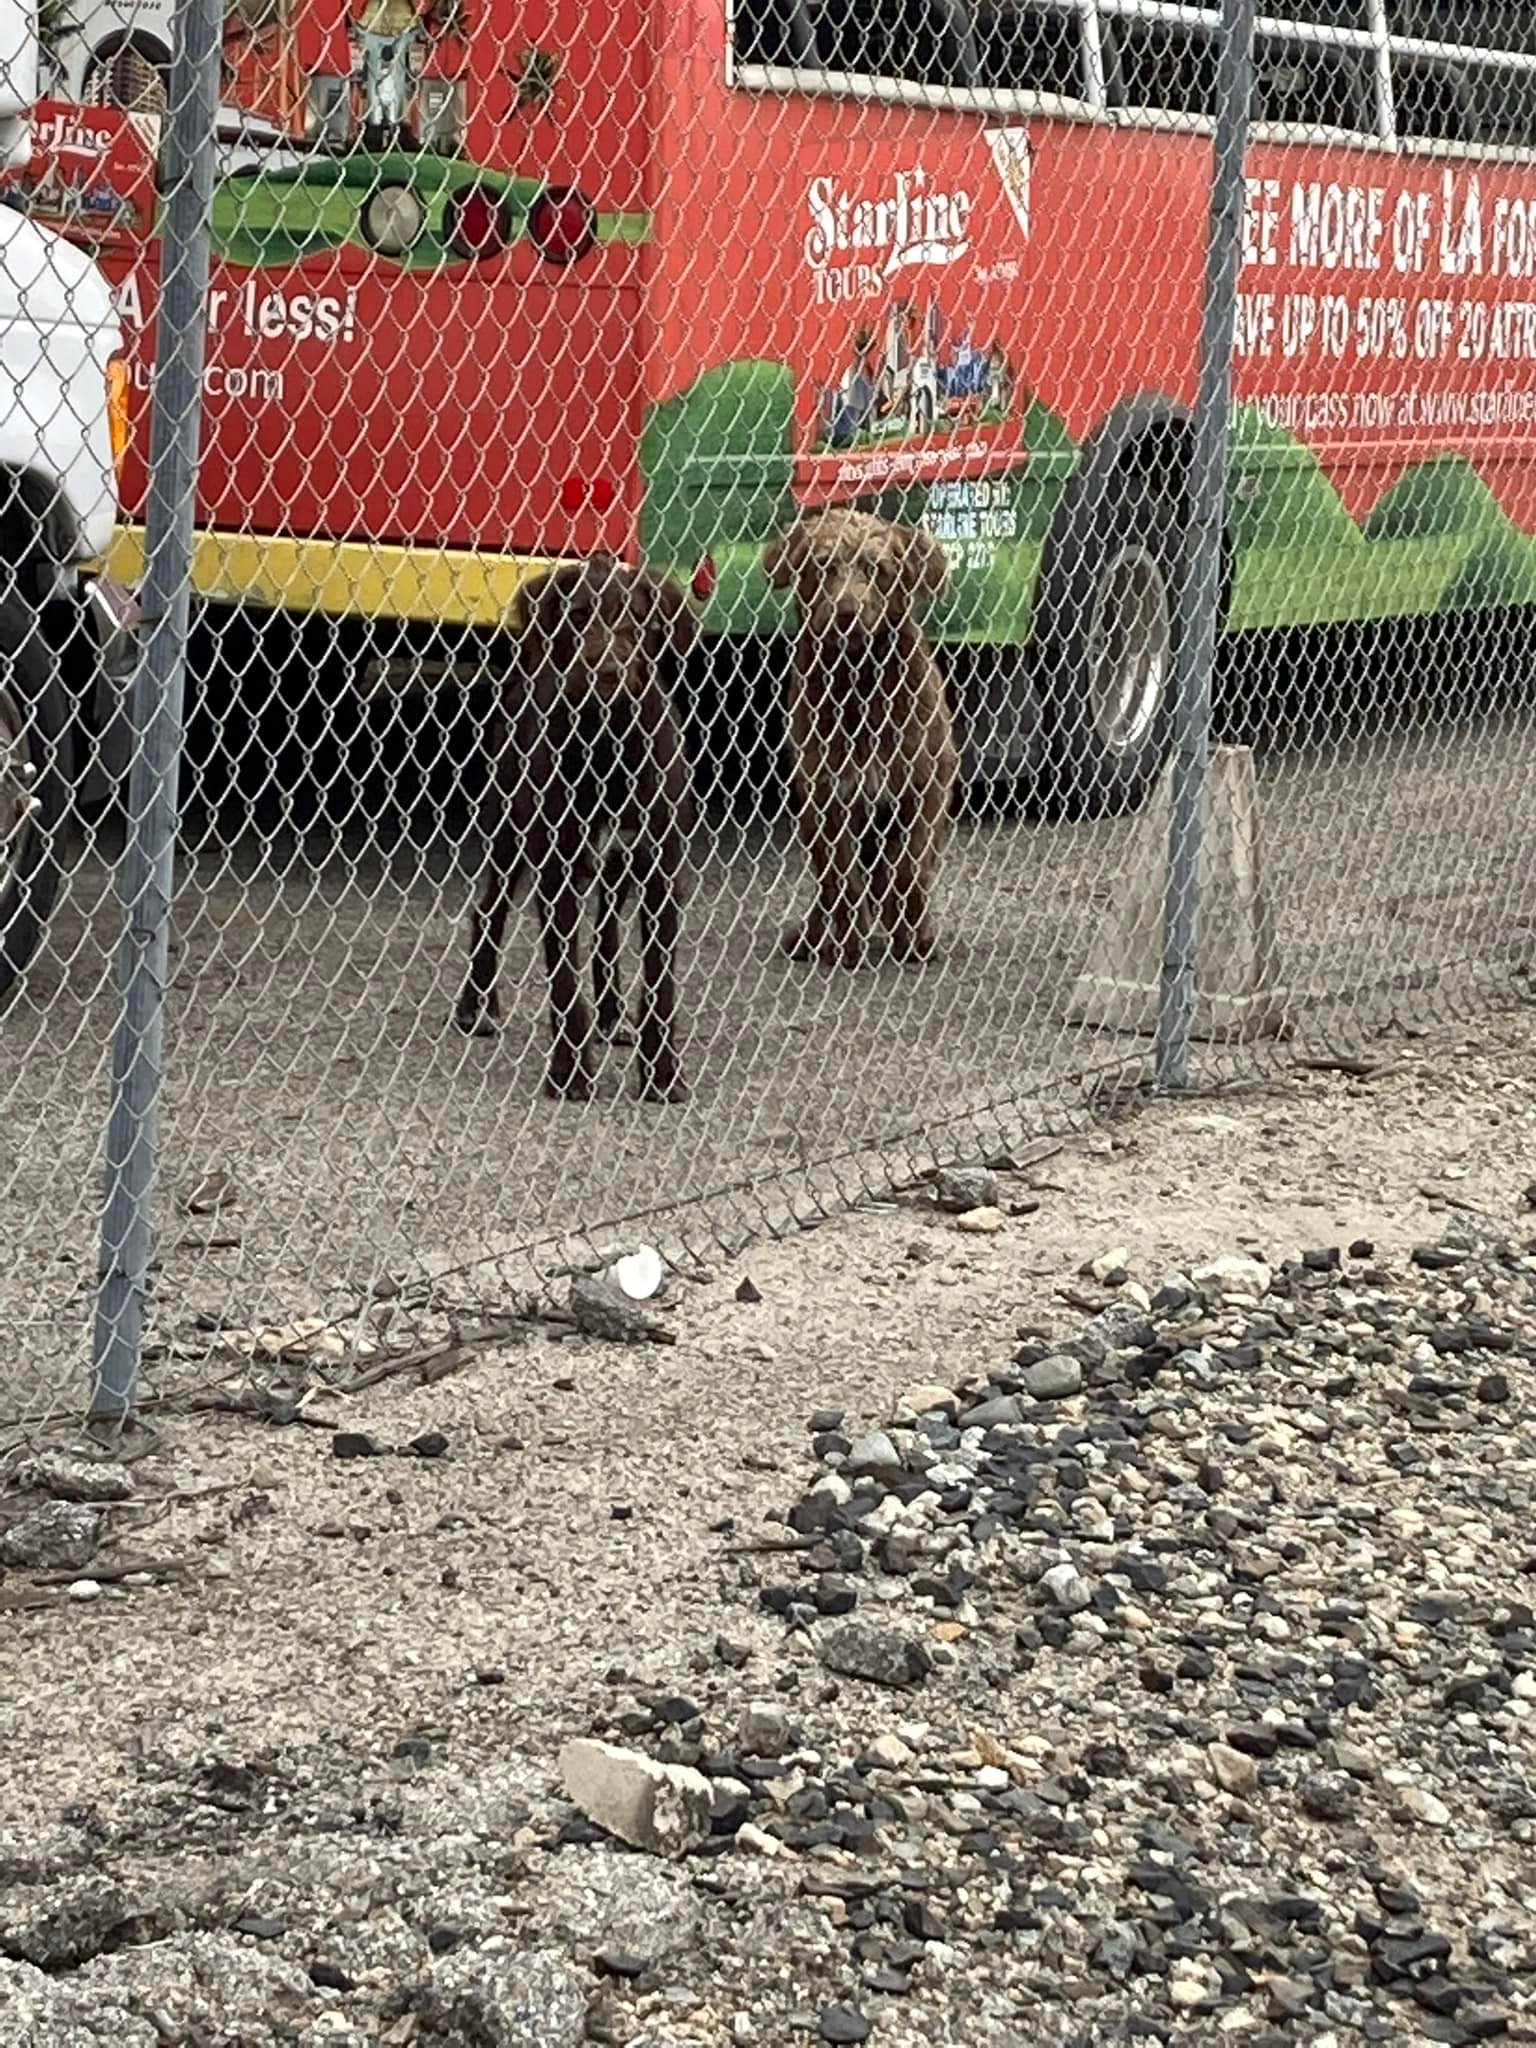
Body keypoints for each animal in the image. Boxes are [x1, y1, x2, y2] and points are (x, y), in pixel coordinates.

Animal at [454, 557, 700, 1105]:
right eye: (579, 614)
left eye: (638, 618)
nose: (604, 670)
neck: (606, 740)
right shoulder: (556, 872)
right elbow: (565, 981)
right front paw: (569, 1074)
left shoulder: (660, 869)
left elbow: (660, 983)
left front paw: (662, 1075)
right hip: (508, 827)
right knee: (488, 911)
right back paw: (476, 1007)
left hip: (618, 865)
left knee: (606, 930)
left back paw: (611, 1016)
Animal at [770, 503, 962, 966]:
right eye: (823, 565)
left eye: (876, 569)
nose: (847, 611)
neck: (860, 682)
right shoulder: (825, 793)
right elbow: (842, 875)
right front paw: (847, 945)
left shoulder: (926, 785)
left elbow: (909, 866)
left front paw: (914, 939)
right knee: (829, 885)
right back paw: (815, 936)